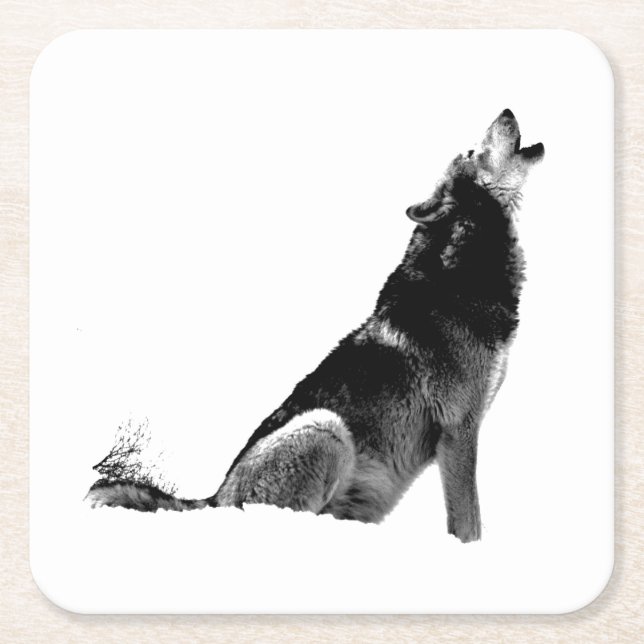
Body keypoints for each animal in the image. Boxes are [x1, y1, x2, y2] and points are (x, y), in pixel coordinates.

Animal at [86, 109, 544, 542]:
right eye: (471, 150)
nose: (506, 110)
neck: (462, 272)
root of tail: (215, 498)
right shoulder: (458, 430)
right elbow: (469, 523)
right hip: (326, 427)